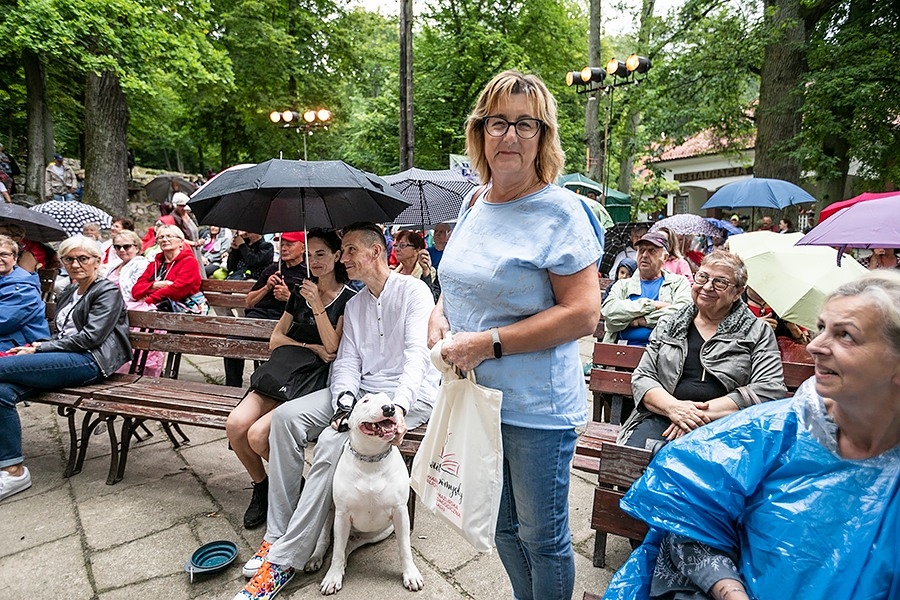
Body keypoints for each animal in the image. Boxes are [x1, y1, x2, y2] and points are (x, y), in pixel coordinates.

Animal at [310, 392, 422, 592]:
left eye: (390, 400)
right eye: (365, 401)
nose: (389, 408)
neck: (371, 459)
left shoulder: (401, 513)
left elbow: (405, 548)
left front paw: (411, 575)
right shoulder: (342, 515)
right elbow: (336, 550)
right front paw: (332, 577)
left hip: (380, 532)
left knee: (349, 545)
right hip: (331, 515)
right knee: (329, 540)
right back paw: (316, 558)